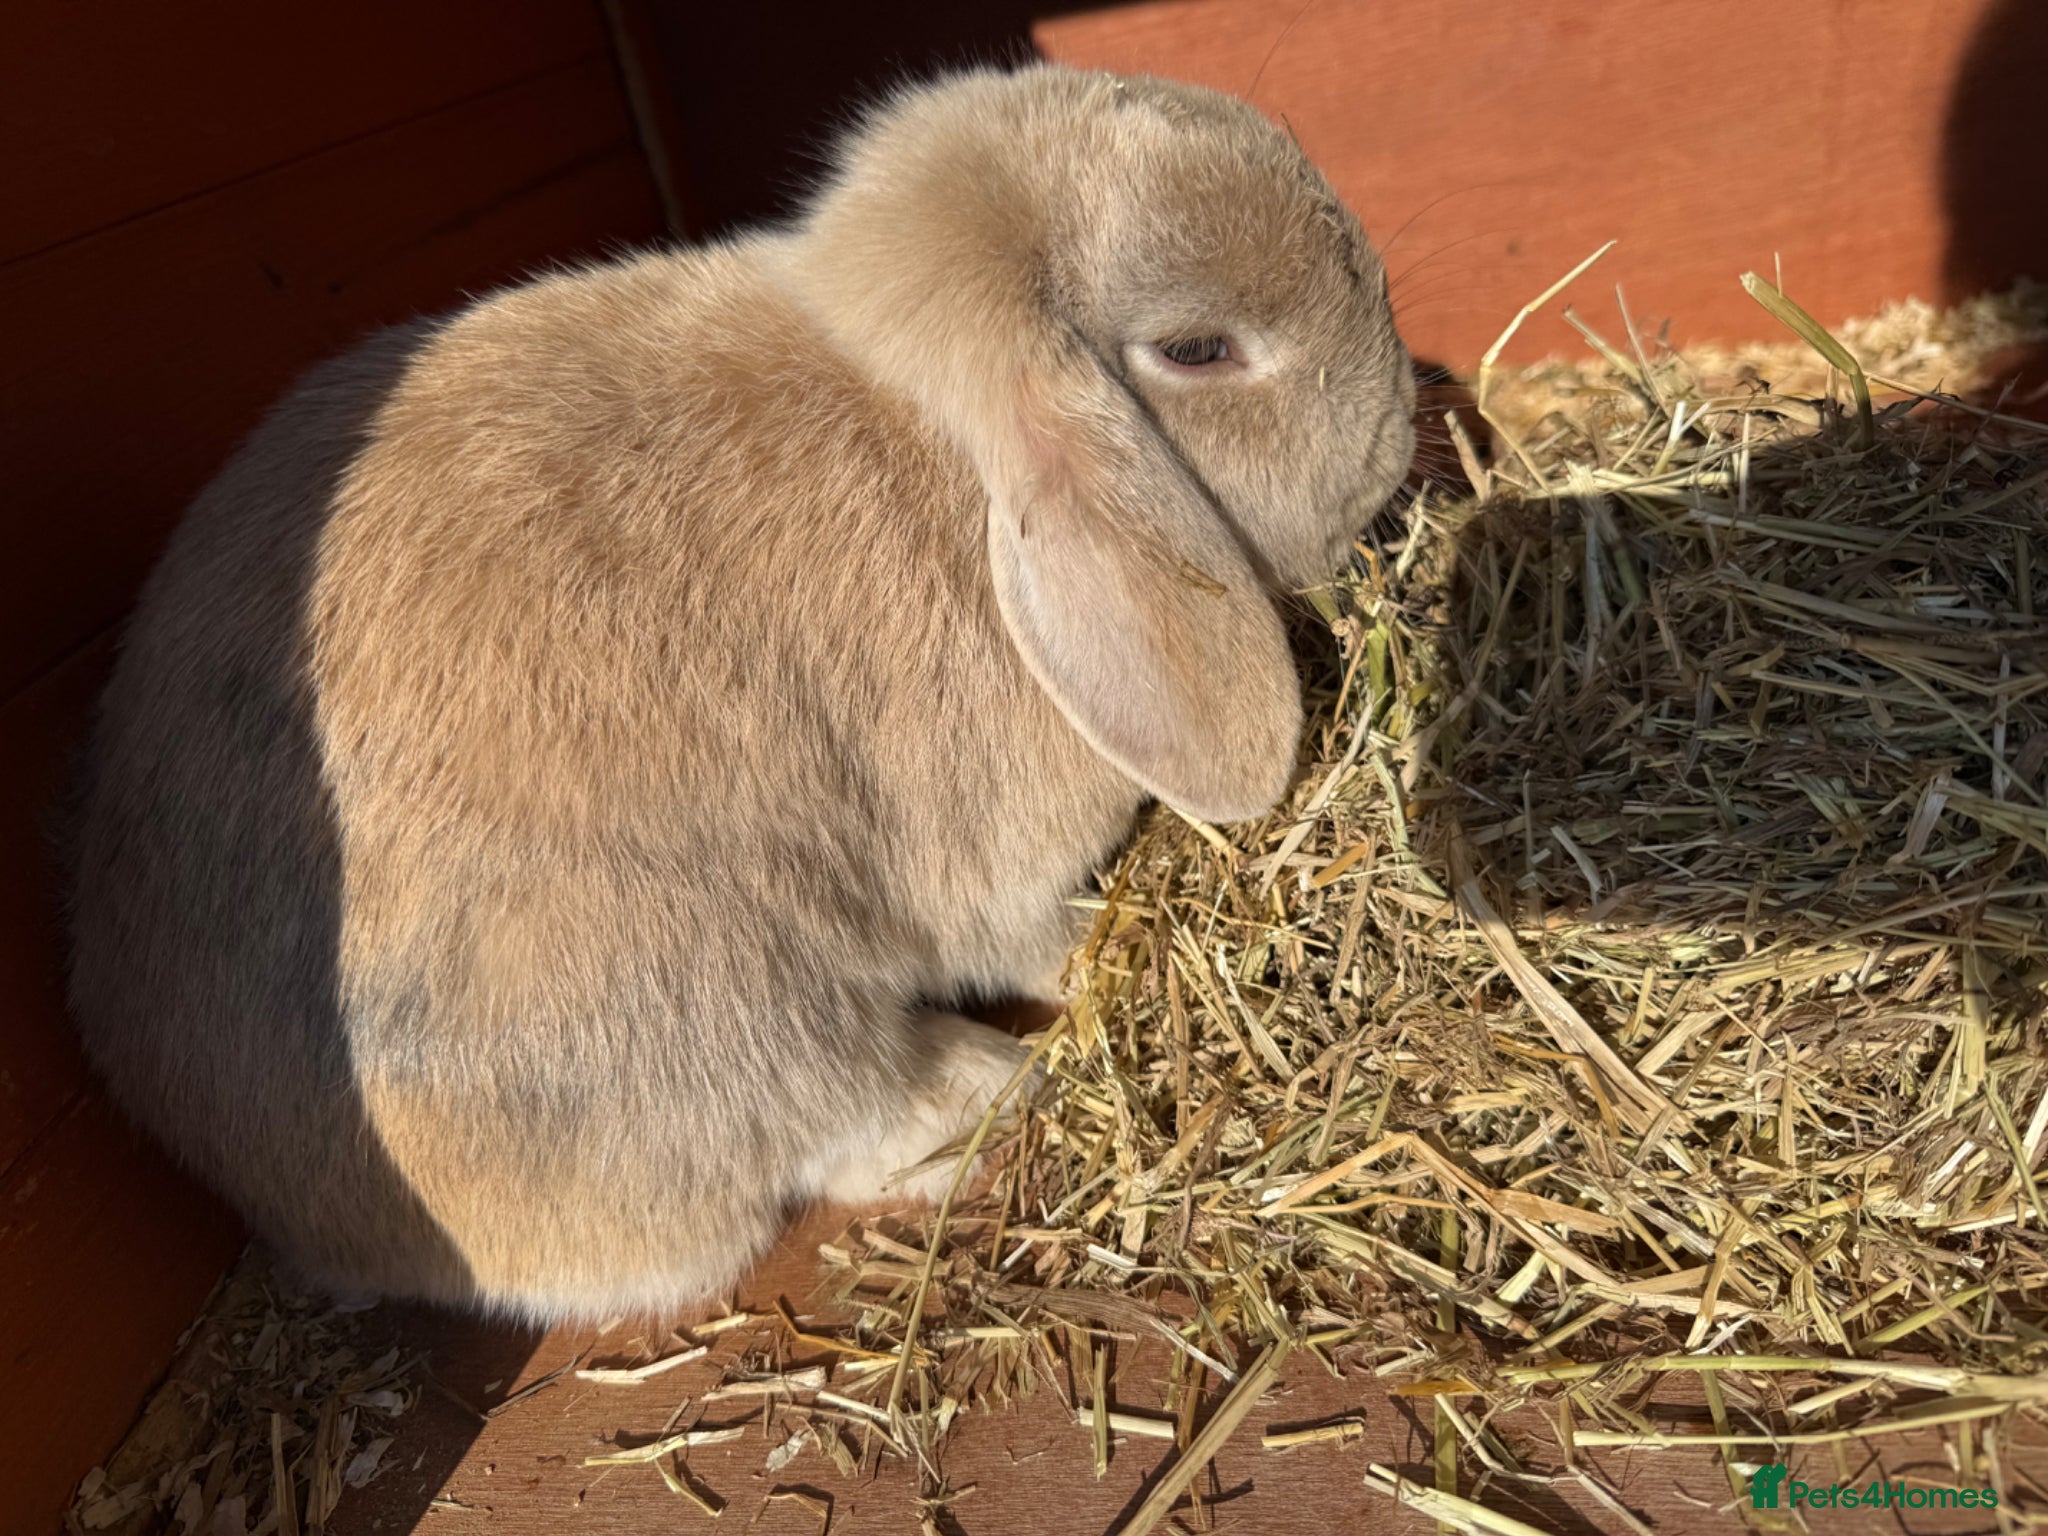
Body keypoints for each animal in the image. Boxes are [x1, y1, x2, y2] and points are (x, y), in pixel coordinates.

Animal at [65, 63, 1416, 1323]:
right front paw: (1089, 949)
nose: (1399, 418)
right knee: (829, 1122)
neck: (941, 455)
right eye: (1197, 351)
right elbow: (1027, 931)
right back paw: (985, 1089)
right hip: (690, 1001)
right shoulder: (985, 859)